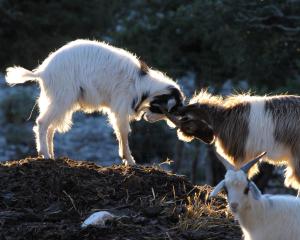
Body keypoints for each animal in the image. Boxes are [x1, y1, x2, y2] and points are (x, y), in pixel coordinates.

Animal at [4, 39, 184, 165]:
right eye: (170, 109)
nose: (147, 119)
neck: (142, 84)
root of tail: (42, 72)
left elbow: (120, 132)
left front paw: (126, 159)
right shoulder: (121, 107)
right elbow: (123, 132)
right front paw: (130, 160)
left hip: (59, 101)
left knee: (50, 127)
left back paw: (52, 154)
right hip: (61, 98)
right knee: (42, 122)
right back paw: (45, 154)